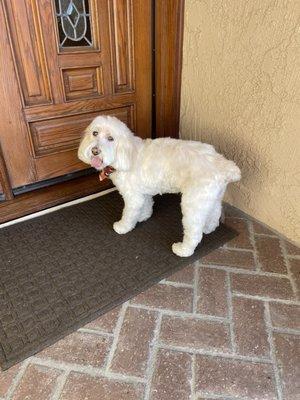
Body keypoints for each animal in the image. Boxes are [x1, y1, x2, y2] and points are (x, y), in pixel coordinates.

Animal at [78, 116, 241, 256]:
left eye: (111, 138)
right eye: (94, 133)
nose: (95, 151)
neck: (127, 153)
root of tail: (222, 164)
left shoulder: (133, 197)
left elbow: (129, 213)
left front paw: (123, 227)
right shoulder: (142, 192)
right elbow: (145, 204)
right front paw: (143, 216)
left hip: (193, 203)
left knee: (194, 232)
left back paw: (183, 250)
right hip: (210, 198)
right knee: (214, 213)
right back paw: (208, 228)